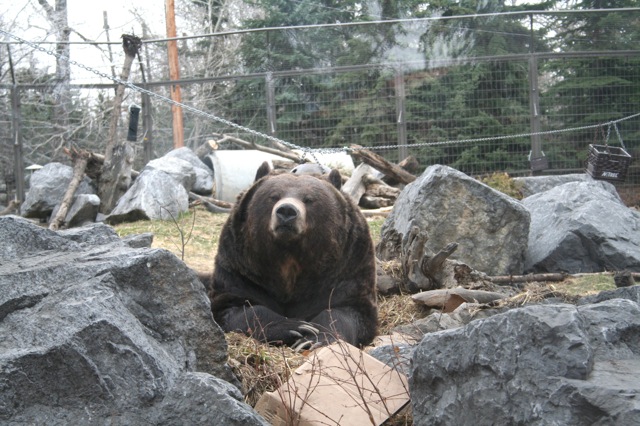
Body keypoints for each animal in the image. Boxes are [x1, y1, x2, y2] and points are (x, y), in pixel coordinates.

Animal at [206, 161, 377, 349]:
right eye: (273, 196)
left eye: (309, 199)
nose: (287, 210)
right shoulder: (243, 271)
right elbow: (237, 307)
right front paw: (295, 327)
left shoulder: (347, 269)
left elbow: (346, 311)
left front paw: (313, 339)